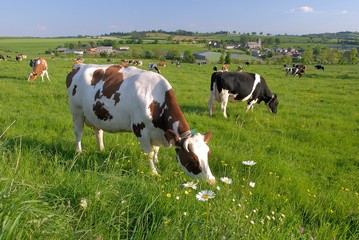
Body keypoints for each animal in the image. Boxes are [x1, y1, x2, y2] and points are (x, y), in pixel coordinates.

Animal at [65, 63, 215, 184]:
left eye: (208, 154)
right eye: (193, 159)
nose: (212, 181)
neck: (156, 100)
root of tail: (79, 66)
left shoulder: (158, 132)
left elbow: (156, 149)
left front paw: (156, 162)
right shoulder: (140, 129)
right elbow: (149, 153)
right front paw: (154, 172)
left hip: (95, 113)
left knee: (98, 131)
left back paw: (101, 149)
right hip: (77, 111)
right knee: (78, 132)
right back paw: (78, 151)